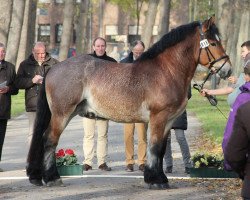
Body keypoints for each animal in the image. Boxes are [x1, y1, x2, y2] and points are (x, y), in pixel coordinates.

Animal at [26, 16, 231, 189]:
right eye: (213, 43)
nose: (227, 69)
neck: (167, 71)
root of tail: (53, 69)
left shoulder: (168, 121)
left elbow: (161, 149)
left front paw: (160, 178)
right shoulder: (158, 117)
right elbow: (155, 147)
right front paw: (155, 180)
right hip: (62, 114)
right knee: (49, 140)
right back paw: (52, 178)